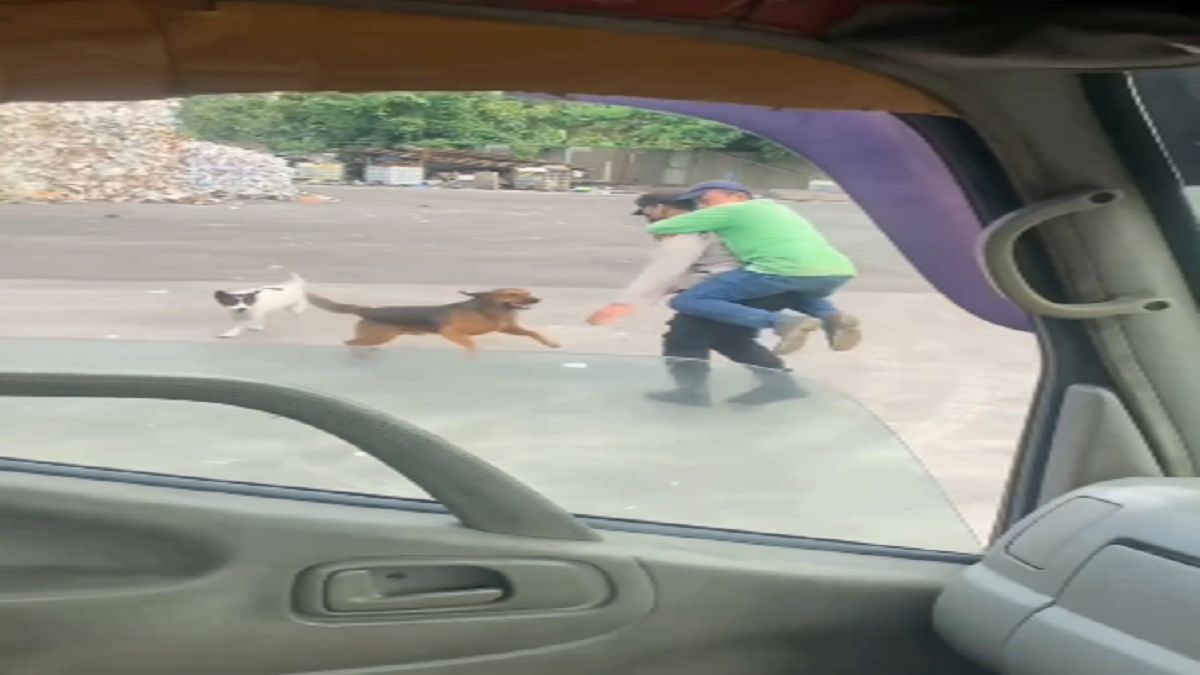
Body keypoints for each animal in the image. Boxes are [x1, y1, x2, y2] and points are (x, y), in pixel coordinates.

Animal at [304, 285, 556, 353]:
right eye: (512, 294)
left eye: (527, 292)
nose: (537, 299)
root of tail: (367, 310)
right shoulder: (451, 332)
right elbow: (470, 343)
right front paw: (472, 353)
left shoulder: (508, 328)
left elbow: (535, 333)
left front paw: (552, 343)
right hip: (379, 336)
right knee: (350, 343)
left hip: (376, 337)